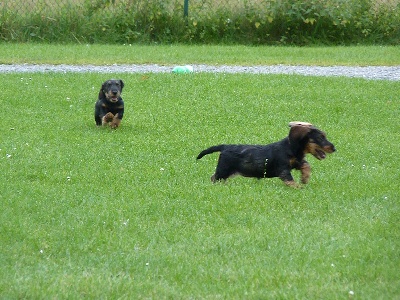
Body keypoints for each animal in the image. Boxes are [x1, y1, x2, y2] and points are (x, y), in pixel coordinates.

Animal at [197, 121, 334, 188]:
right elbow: (291, 181)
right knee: (214, 178)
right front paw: (300, 187)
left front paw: (305, 178)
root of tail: (225, 147)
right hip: (223, 170)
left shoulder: (296, 162)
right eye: (320, 138)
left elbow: (306, 165)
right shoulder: (283, 169)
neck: (290, 147)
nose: (334, 148)